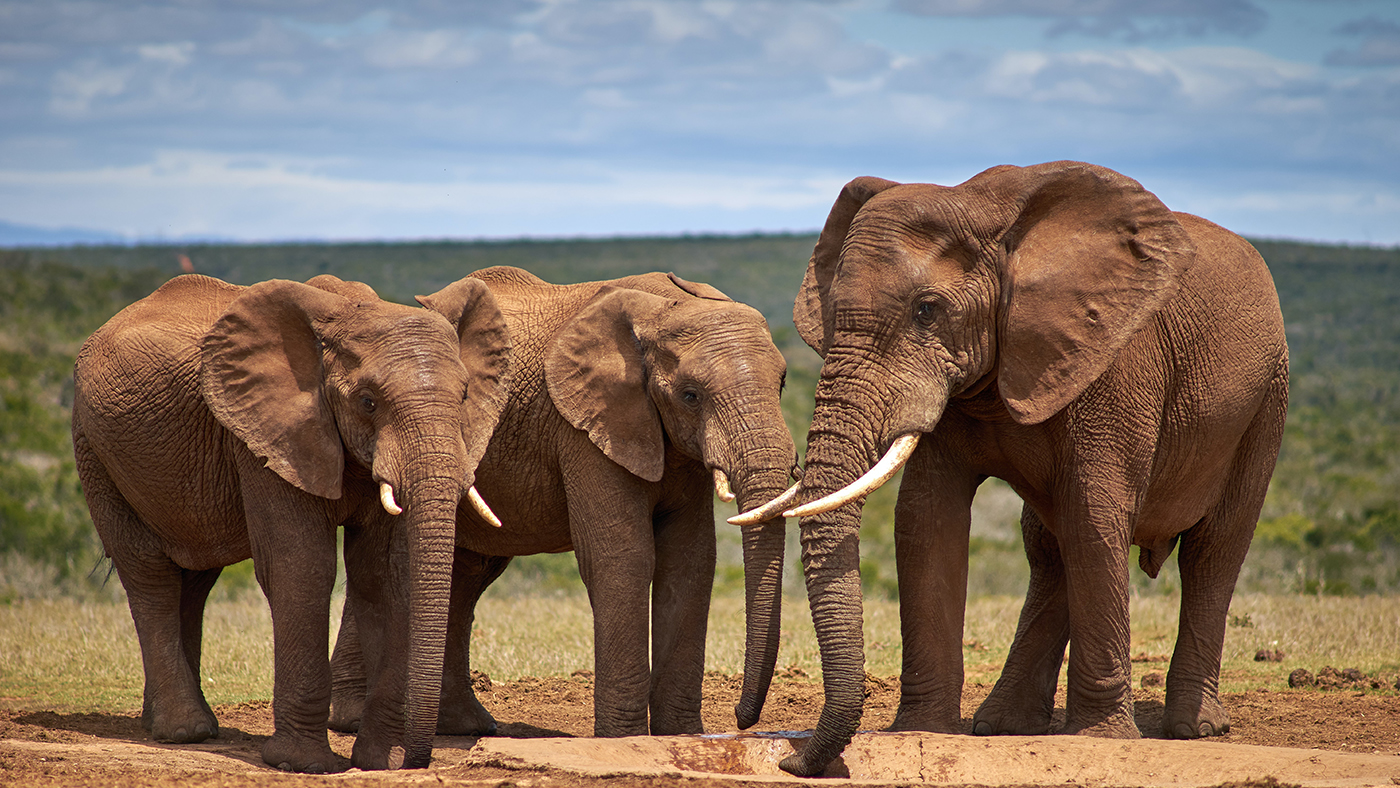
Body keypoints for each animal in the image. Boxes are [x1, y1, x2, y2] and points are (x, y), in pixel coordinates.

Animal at [69, 274, 509, 772]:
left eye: (464, 397)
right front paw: (303, 764)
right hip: (93, 448)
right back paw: (184, 731)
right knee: (149, 573)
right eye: (368, 402)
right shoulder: (266, 436)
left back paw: (177, 725)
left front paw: (381, 761)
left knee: (195, 577)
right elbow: (302, 567)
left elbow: (384, 574)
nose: (417, 759)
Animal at [329, 268, 806, 744]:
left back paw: (463, 726)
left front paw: (681, 738)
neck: (665, 308)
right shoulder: (585, 428)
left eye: (783, 383)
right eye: (691, 395)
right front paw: (625, 741)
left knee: (467, 572)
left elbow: (692, 562)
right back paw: (356, 722)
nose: (743, 719)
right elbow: (623, 558)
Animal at [733, 160, 1288, 778]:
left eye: (926, 310)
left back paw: (1195, 728)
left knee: (1211, 551)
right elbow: (926, 520)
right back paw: (1003, 725)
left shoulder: (1114, 363)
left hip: (1266, 400)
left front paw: (1099, 739)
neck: (986, 213)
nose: (790, 759)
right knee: (1049, 546)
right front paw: (924, 729)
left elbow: (1095, 517)